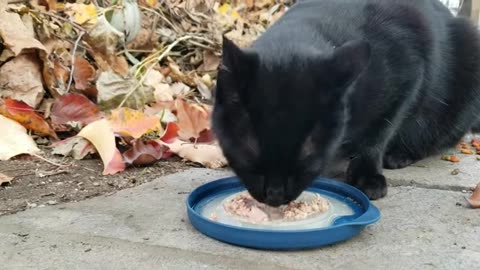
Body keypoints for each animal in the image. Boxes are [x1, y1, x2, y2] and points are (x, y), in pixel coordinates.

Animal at [212, 0, 480, 206]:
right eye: (250, 145)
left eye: (308, 149)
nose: (275, 194)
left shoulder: (411, 75)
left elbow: (379, 133)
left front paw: (367, 176)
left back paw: (400, 155)